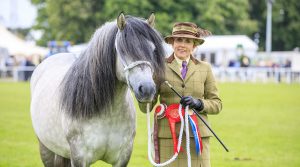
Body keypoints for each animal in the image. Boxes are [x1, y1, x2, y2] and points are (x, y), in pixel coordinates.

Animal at [30, 13, 165, 166]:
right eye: (123, 49)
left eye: (153, 50)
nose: (147, 89)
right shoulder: (79, 158)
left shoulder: (123, 157)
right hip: (46, 149)